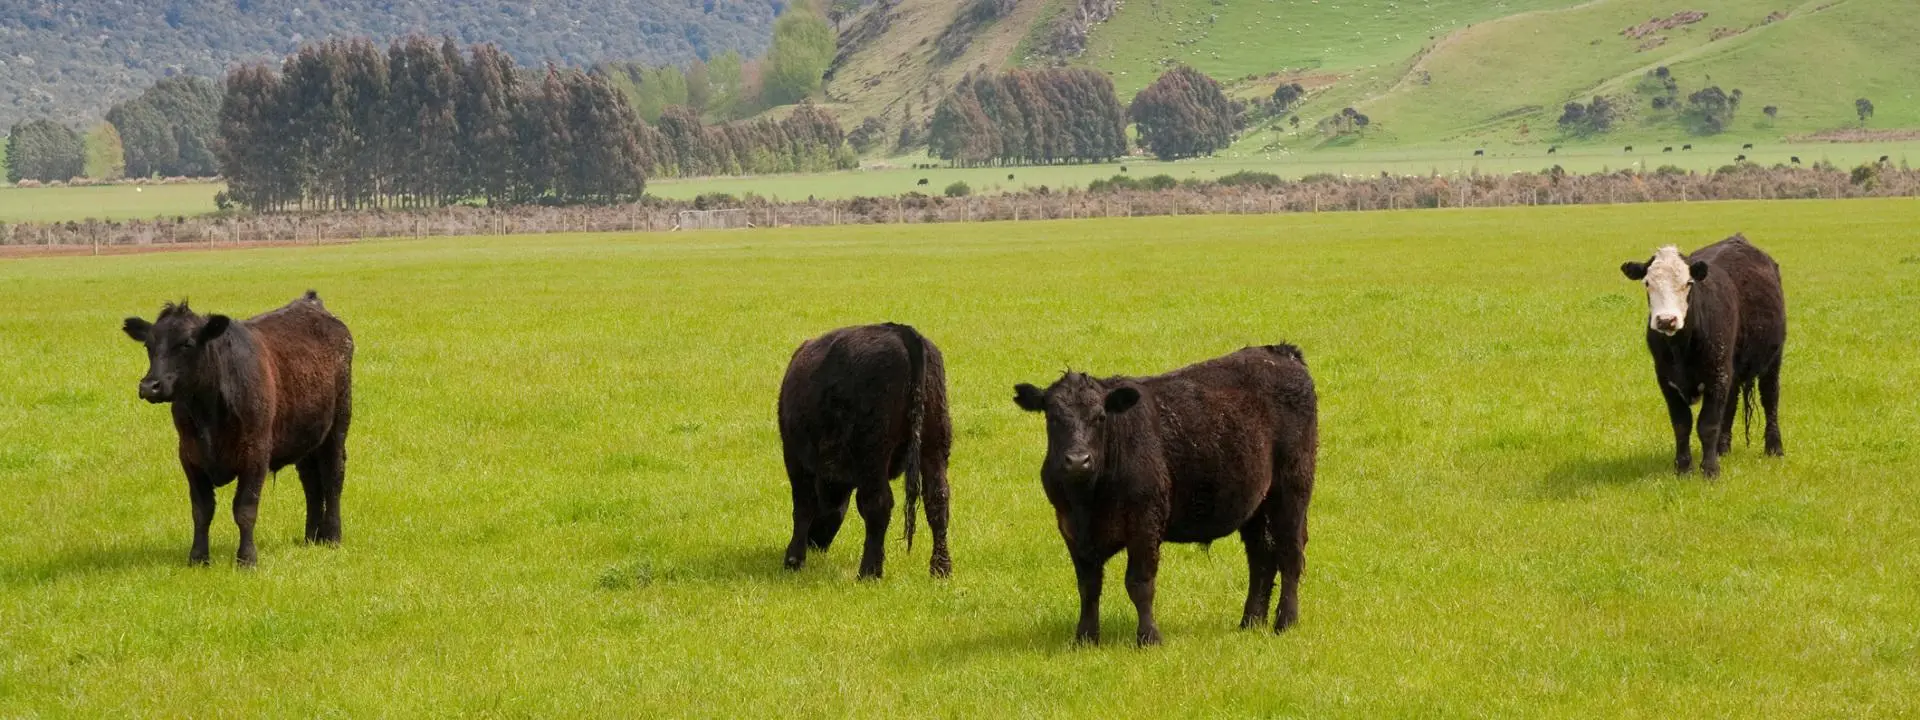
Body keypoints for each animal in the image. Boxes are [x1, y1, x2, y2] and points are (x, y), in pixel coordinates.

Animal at [121, 292, 353, 566]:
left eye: (187, 343)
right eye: (148, 345)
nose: (150, 386)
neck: (208, 414)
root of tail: (311, 302)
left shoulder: (256, 454)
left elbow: (245, 509)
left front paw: (247, 559)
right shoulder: (189, 455)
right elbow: (201, 510)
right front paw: (198, 557)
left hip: (338, 425)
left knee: (333, 477)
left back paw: (332, 536)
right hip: (305, 435)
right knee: (311, 482)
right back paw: (311, 537)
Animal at [779, 323, 952, 579]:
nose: (815, 544)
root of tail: (903, 332)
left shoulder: (796, 460)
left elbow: (803, 505)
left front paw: (793, 559)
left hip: (874, 455)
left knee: (878, 503)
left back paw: (869, 572)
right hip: (934, 445)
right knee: (937, 499)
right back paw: (941, 570)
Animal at [1012, 345, 1318, 646]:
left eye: (1100, 417)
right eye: (1052, 417)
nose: (1078, 460)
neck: (1087, 502)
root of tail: (1280, 352)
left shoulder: (1145, 522)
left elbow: (1139, 583)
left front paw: (1149, 637)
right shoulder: (1071, 529)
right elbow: (1088, 586)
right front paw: (1085, 638)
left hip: (1293, 489)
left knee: (1290, 553)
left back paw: (1285, 621)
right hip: (1255, 504)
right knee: (1261, 558)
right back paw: (1250, 622)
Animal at [1619, 235, 1786, 479]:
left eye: (1688, 283)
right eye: (1647, 283)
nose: (1666, 320)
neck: (1680, 349)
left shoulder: (1716, 376)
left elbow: (1708, 424)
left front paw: (1710, 469)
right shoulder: (1666, 380)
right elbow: (1682, 424)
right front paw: (1683, 468)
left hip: (1772, 359)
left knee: (1770, 399)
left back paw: (1774, 448)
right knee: (1731, 404)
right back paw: (1722, 448)